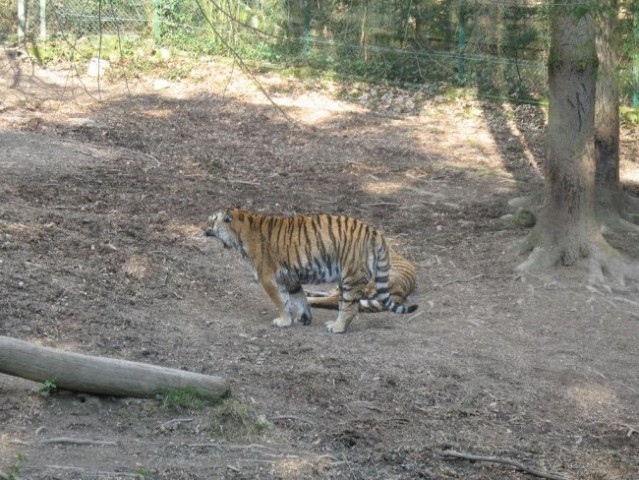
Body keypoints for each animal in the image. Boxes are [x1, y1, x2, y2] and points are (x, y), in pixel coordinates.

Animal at [202, 206, 418, 334]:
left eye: (211, 219)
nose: (202, 226)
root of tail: (373, 232)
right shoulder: (290, 278)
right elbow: (297, 298)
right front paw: (304, 317)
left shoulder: (268, 278)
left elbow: (281, 301)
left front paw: (283, 321)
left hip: (350, 277)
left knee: (349, 305)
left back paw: (337, 327)